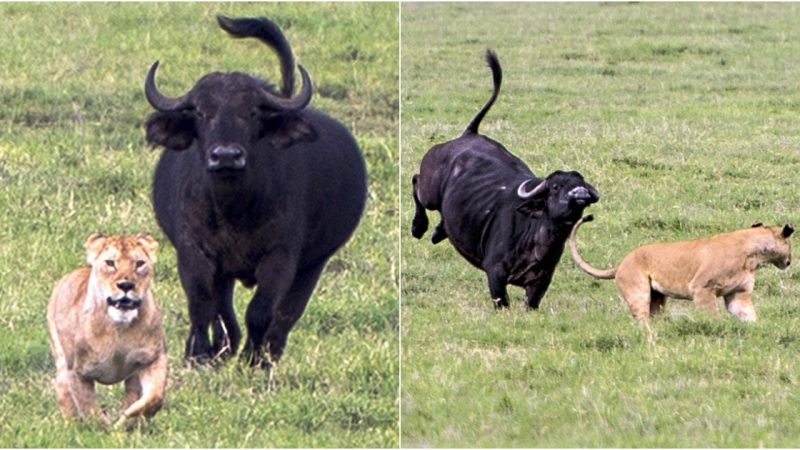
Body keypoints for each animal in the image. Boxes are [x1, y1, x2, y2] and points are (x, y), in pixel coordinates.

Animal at [144, 15, 366, 372]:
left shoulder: (281, 256)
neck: (233, 208)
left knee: (285, 315)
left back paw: (265, 354)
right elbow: (202, 305)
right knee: (222, 308)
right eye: (202, 113)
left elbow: (261, 311)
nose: (226, 156)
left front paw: (253, 358)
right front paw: (199, 354)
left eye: (251, 113)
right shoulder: (195, 252)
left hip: (312, 265)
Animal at [412, 49, 600, 310]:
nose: (579, 194)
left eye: (580, 184)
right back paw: (418, 227)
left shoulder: (540, 284)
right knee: (416, 181)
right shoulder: (496, 274)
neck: (537, 238)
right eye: (555, 187)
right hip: (429, 190)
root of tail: (469, 134)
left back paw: (439, 232)